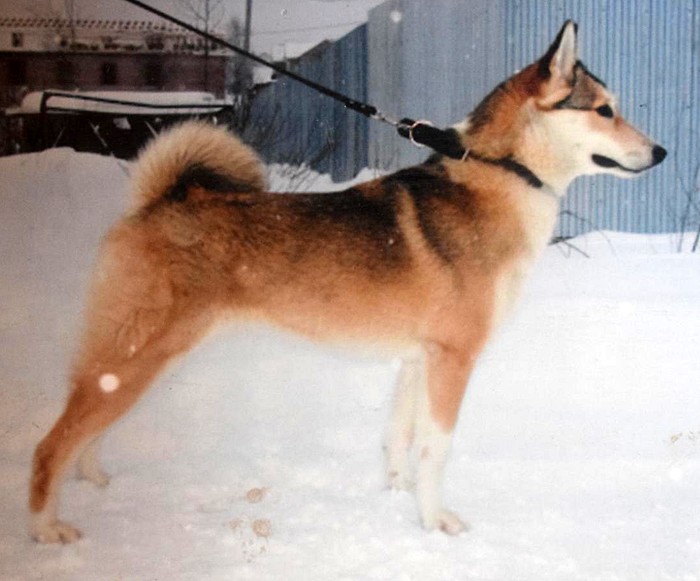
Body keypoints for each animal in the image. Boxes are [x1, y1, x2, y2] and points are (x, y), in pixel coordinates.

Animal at [30, 20, 666, 542]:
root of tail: (158, 200)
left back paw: (95, 480)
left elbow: (399, 441)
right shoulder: (453, 358)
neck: (502, 173)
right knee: (51, 442)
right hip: (136, 358)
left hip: (149, 362)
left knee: (88, 431)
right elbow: (436, 449)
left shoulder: (417, 359)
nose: (661, 152)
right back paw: (47, 528)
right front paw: (436, 523)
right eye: (604, 110)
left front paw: (397, 499)